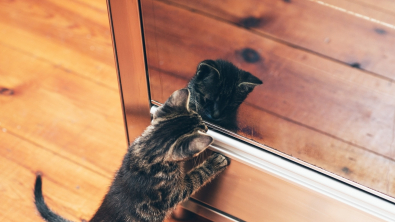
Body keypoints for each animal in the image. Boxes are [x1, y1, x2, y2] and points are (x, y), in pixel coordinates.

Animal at [36, 88, 232, 222]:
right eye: (202, 127)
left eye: (201, 120)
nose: (207, 126)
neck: (146, 153)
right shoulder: (173, 192)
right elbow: (197, 177)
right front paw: (215, 162)